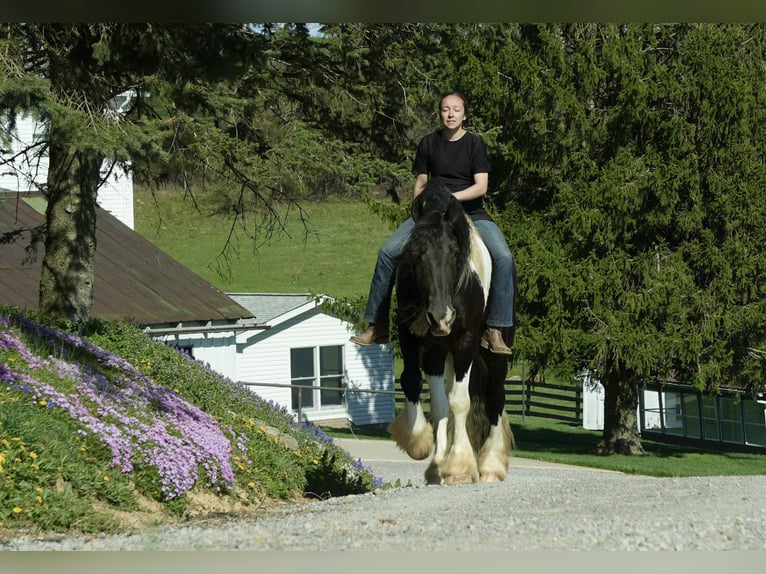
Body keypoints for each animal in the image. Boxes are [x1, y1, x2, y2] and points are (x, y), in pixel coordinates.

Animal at [388, 178, 514, 484]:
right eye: (415, 255)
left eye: (455, 253)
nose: (441, 316)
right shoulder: (414, 337)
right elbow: (422, 390)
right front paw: (421, 445)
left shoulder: (465, 340)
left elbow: (460, 401)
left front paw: (459, 466)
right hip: (438, 351)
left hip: (495, 355)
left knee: (496, 397)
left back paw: (491, 466)